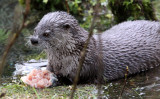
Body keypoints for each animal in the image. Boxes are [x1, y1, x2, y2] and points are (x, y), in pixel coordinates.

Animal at [30, 11, 160, 84]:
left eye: (46, 33)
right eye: (35, 29)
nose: (33, 40)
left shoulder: (85, 65)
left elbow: (73, 78)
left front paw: (57, 78)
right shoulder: (52, 62)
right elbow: (49, 69)